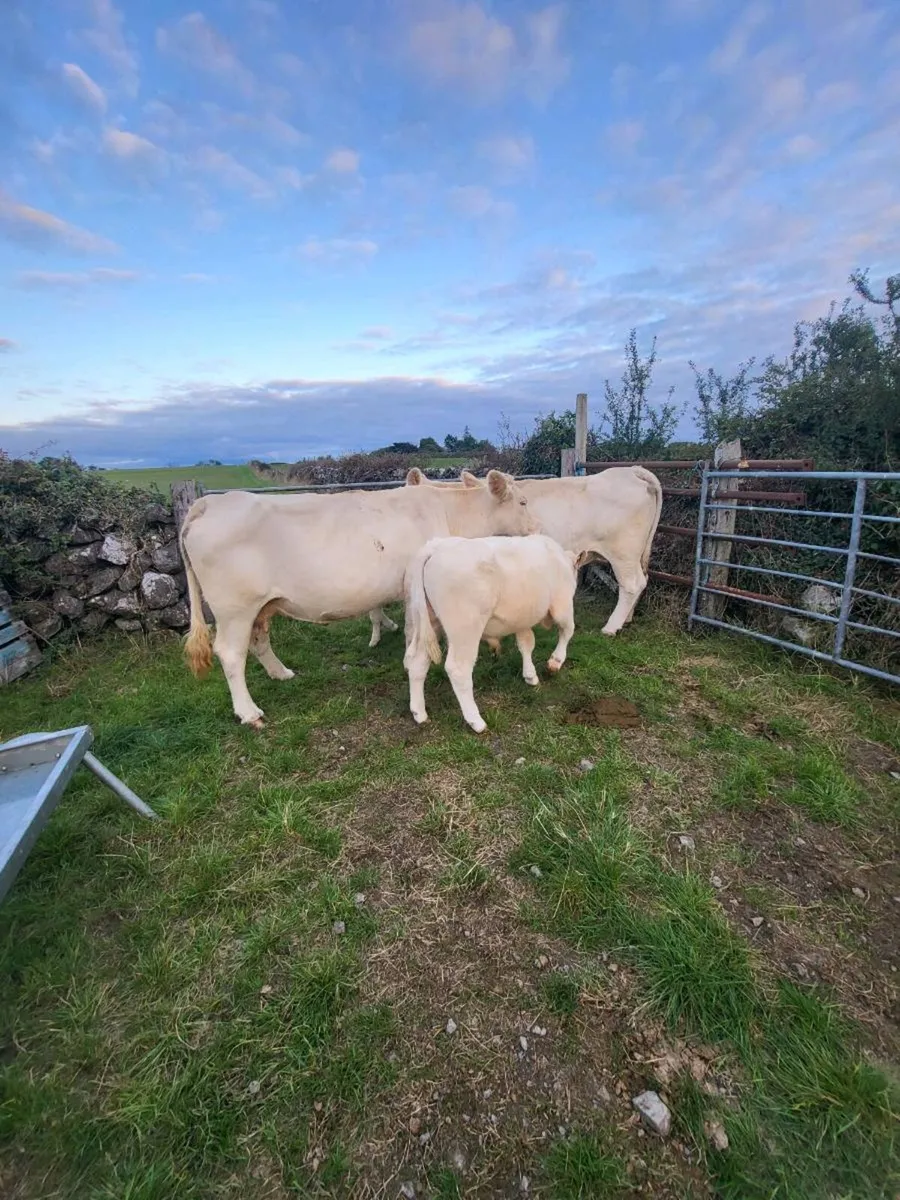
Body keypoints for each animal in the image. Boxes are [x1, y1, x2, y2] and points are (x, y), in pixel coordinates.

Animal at [179, 470, 539, 726]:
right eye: (523, 502)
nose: (537, 530)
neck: (450, 513)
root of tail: (210, 503)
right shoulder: (413, 588)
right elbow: (416, 631)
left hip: (260, 606)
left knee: (258, 640)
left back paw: (281, 674)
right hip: (234, 608)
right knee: (230, 653)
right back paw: (249, 712)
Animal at [368, 464, 662, 648]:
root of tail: (632, 471)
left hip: (622, 552)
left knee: (632, 584)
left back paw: (611, 627)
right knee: (640, 582)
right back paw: (627, 619)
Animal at [403, 534, 585, 732]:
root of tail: (436, 546)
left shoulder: (521, 618)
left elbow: (526, 643)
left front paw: (530, 675)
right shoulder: (562, 605)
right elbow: (568, 630)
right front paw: (555, 662)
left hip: (428, 620)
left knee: (418, 661)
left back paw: (419, 713)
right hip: (465, 627)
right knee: (458, 669)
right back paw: (476, 721)